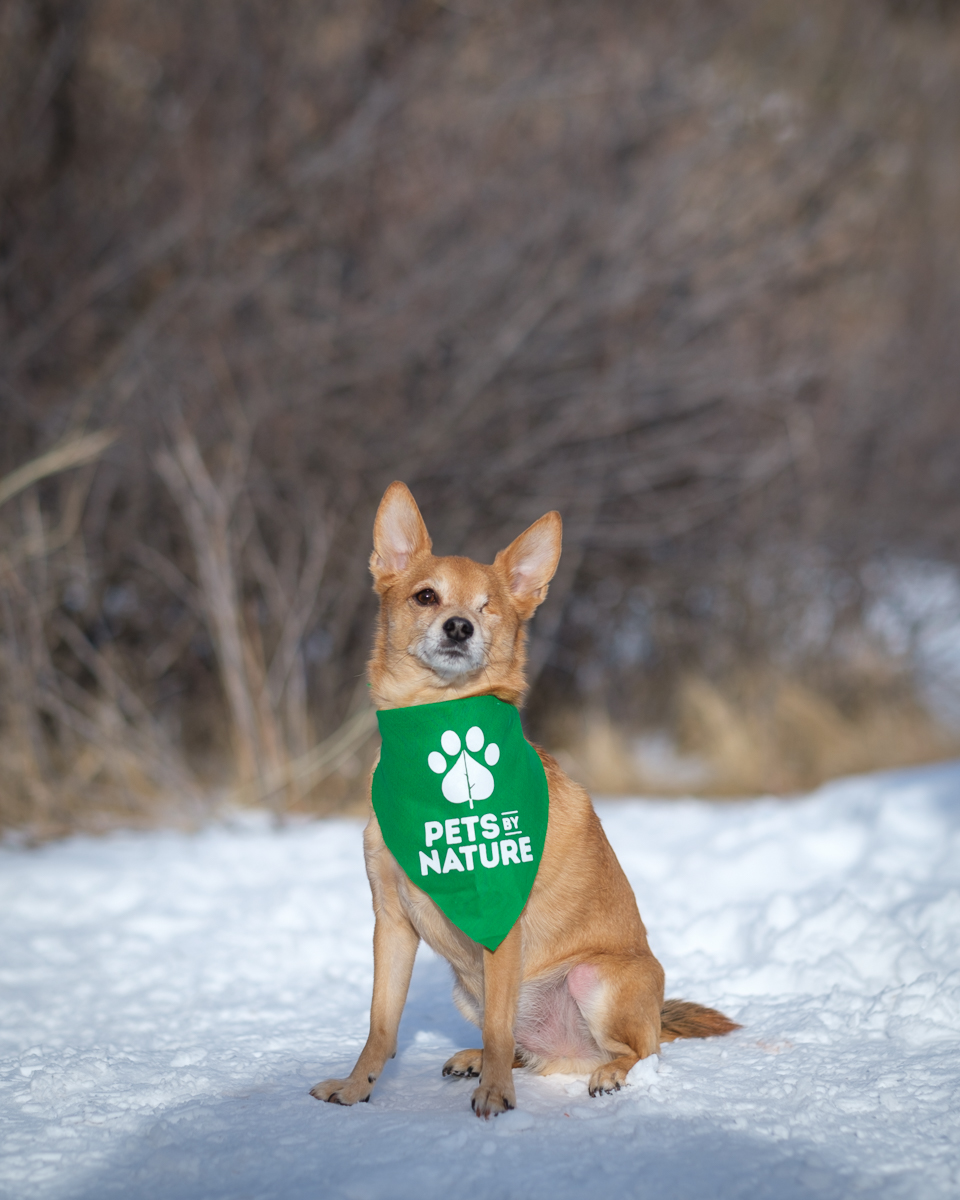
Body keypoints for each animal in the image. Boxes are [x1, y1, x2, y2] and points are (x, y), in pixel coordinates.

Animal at [312, 482, 739, 1118]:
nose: (459, 627)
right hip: (467, 989)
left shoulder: (501, 923)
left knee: (639, 1051)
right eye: (425, 596)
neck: (436, 724)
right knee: (521, 1045)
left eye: (489, 606)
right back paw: (478, 1061)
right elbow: (381, 1026)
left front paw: (494, 1096)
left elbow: (496, 1026)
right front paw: (356, 1086)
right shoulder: (390, 923)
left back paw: (606, 1073)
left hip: (593, 978)